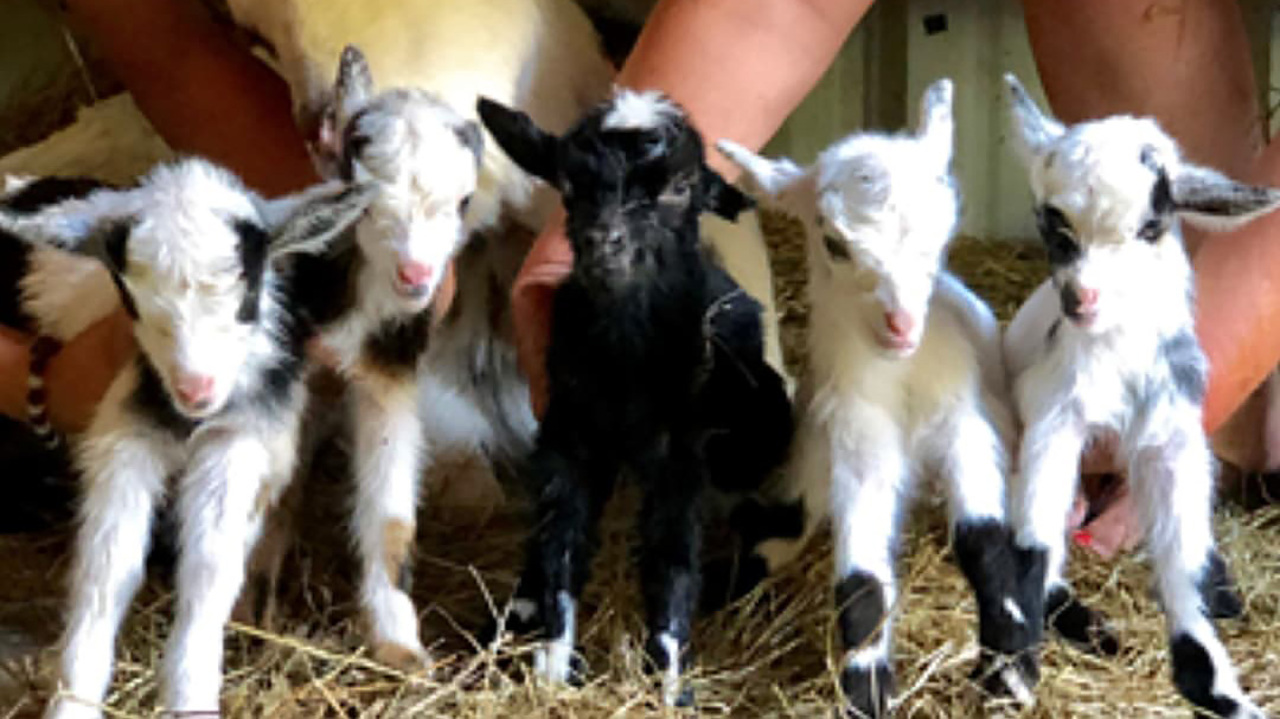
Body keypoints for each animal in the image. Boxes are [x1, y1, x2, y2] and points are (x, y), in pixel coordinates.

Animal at [0, 159, 372, 719]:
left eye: (249, 289)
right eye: (130, 298)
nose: (197, 388)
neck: (187, 421)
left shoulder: (235, 441)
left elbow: (209, 569)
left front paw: (192, 695)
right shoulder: (125, 438)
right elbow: (107, 567)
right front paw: (73, 703)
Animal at [477, 88, 789, 706]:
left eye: (681, 186)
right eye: (570, 185)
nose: (604, 243)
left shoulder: (680, 456)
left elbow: (672, 559)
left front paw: (668, 679)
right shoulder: (569, 436)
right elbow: (561, 538)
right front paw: (555, 663)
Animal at [716, 79, 1033, 716]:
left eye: (943, 232)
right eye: (834, 242)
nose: (902, 325)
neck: (900, 379)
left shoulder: (965, 424)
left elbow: (983, 540)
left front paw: (1008, 667)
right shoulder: (858, 443)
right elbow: (860, 584)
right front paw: (867, 689)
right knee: (782, 528)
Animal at [1001, 73, 1275, 718]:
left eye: (1152, 227)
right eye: (1054, 227)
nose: (1082, 300)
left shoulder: (1175, 435)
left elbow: (1183, 559)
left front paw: (1218, 688)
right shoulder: (1052, 418)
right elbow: (1036, 532)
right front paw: (1021, 662)